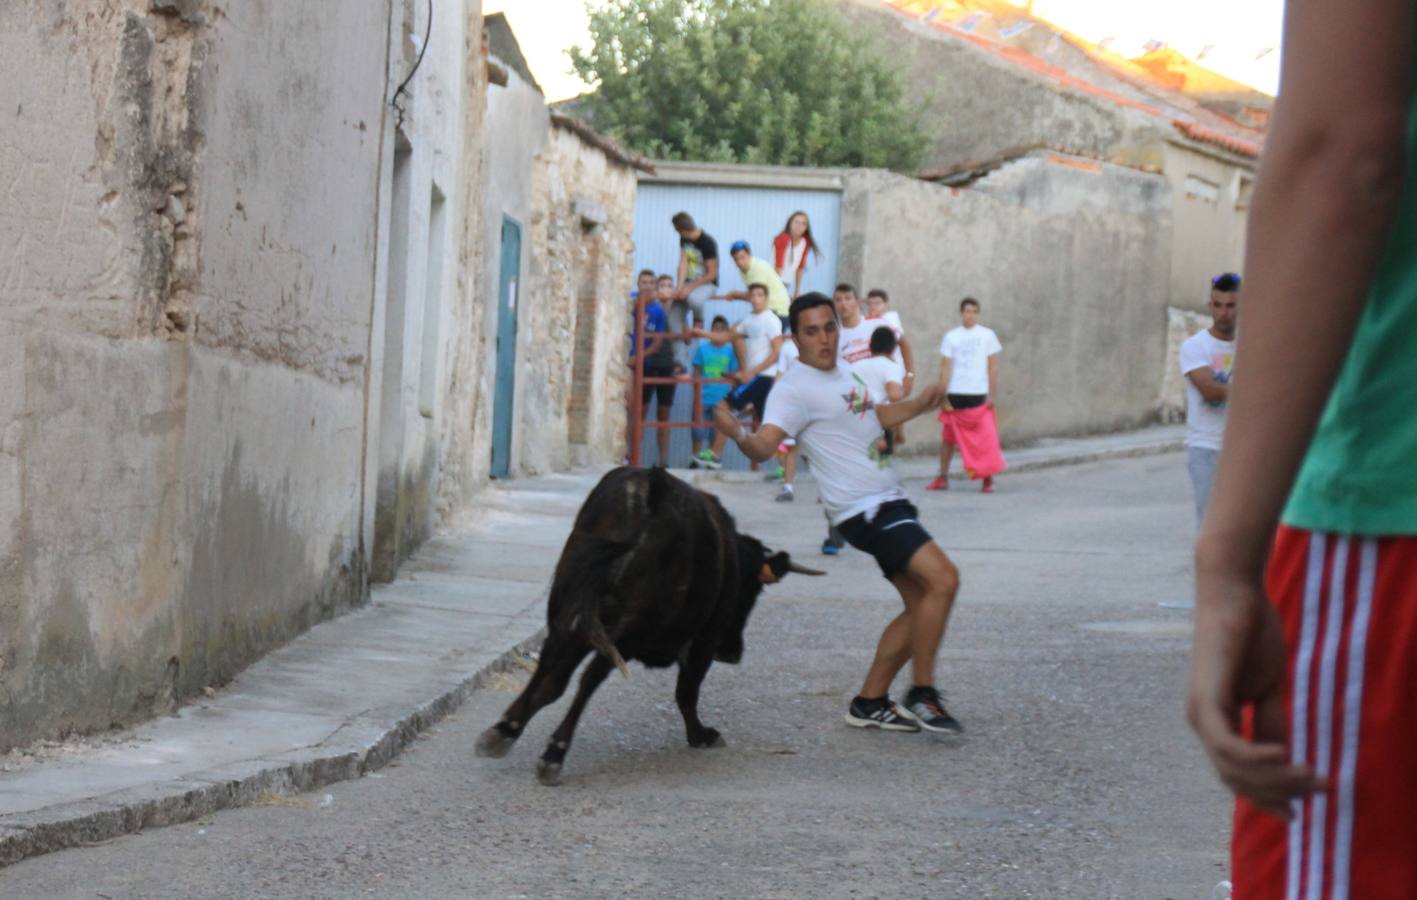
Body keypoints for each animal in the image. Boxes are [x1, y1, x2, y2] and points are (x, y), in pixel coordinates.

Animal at [473, 467, 821, 788]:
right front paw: (700, 735)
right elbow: (687, 690)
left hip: (568, 607)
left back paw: (505, 730)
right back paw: (554, 753)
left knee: (553, 673)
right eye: (753, 590)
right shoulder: (704, 640)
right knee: (589, 678)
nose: (733, 652)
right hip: (630, 628)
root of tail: (647, 491)